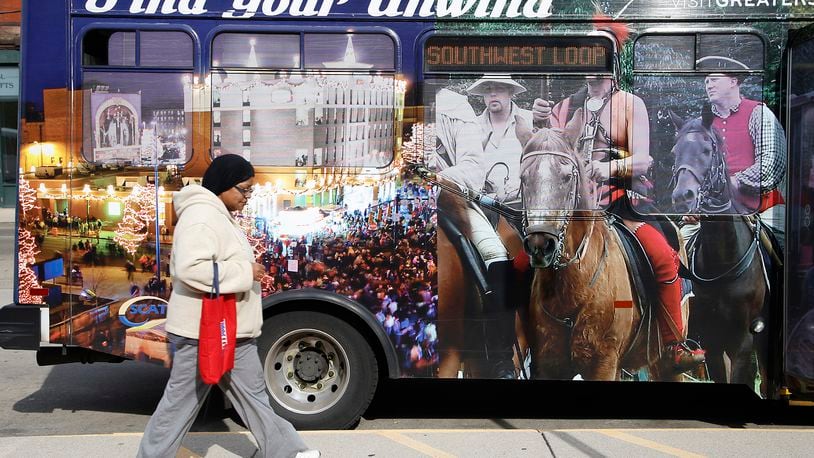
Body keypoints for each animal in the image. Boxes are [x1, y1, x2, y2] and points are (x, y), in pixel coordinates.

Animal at [516, 112, 684, 382]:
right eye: (524, 177)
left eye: (567, 177)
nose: (541, 244)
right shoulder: (547, 366)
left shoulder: (602, 364)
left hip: (665, 361)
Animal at [672, 114, 768, 394]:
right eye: (675, 152)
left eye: (707, 150)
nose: (683, 196)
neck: (724, 262)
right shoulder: (712, 342)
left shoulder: (743, 341)